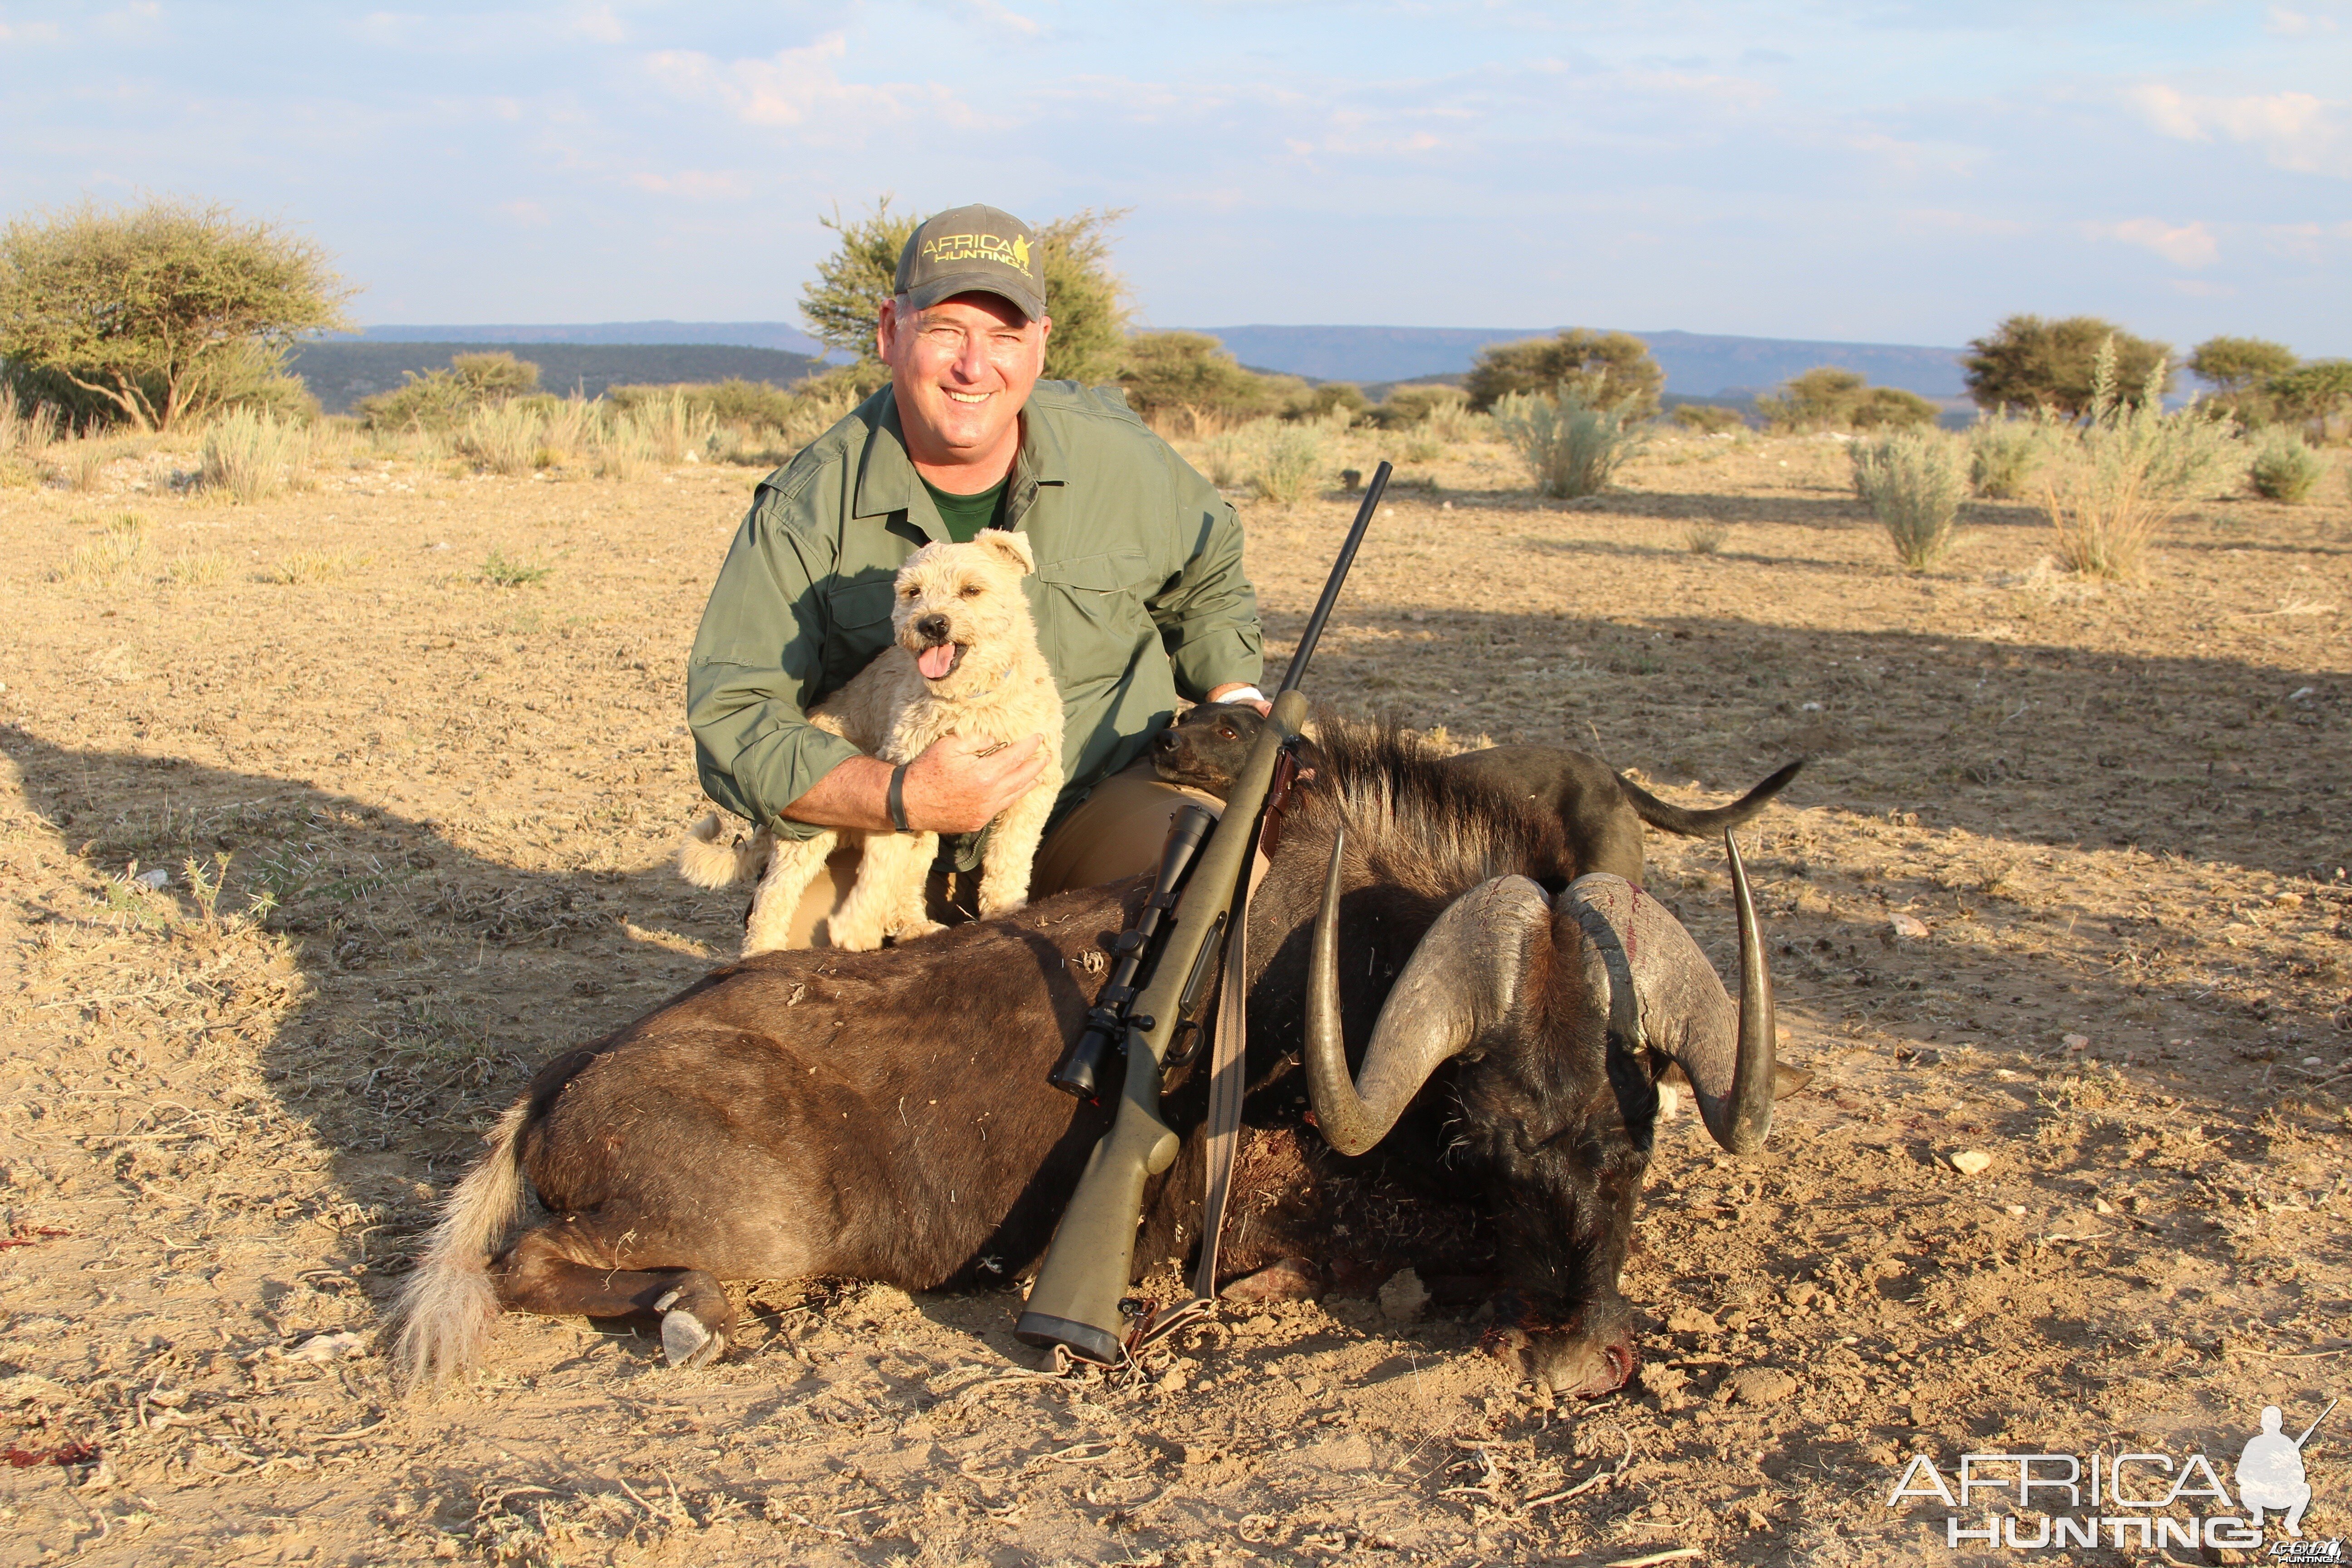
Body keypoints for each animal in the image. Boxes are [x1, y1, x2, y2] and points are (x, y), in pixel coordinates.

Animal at [682, 534, 1068, 959]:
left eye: (971, 590)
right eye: (913, 592)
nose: (932, 624)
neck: (968, 700)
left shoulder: (1033, 787)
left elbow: (1009, 860)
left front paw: (1005, 914)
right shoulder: (909, 792)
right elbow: (881, 870)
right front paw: (855, 930)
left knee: (908, 883)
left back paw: (915, 928)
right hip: (815, 830)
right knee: (775, 892)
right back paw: (761, 954)